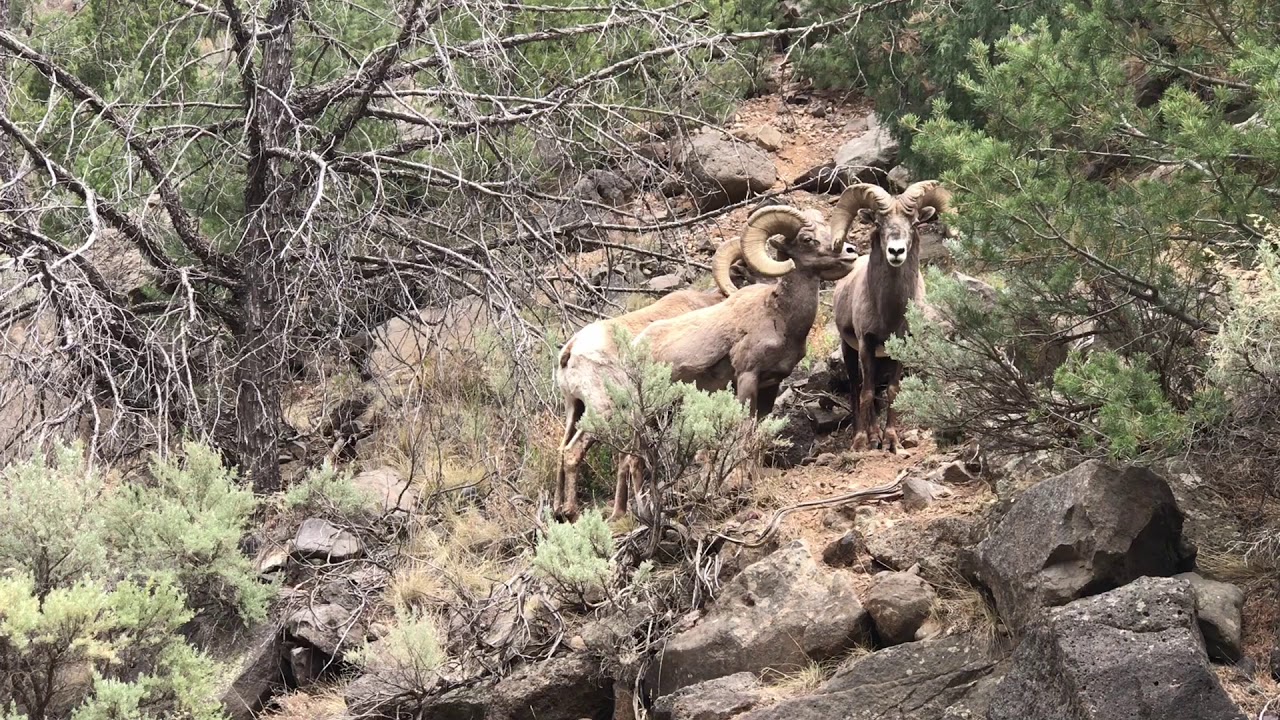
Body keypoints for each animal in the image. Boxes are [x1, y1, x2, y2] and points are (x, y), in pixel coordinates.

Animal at [831, 180, 951, 453]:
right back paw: (864, 435)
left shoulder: (902, 346)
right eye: (878, 223)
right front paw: (864, 443)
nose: (896, 251)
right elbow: (865, 393)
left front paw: (891, 441)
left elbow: (893, 392)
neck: (890, 313)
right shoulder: (866, 344)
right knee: (856, 388)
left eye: (915, 223)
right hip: (849, 349)